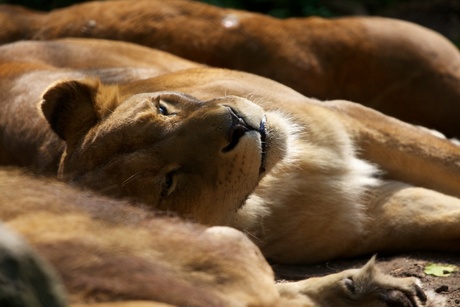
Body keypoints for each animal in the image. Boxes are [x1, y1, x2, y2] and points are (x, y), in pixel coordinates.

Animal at [0, 38, 460, 306]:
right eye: (168, 182)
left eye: (162, 110)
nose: (238, 124)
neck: (276, 182)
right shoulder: (369, 214)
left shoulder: (347, 118)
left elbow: (443, 160)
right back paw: (370, 290)